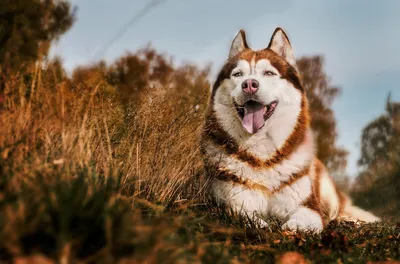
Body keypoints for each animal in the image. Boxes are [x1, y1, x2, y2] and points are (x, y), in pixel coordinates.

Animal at [200, 27, 382, 233]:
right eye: (238, 74)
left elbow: (304, 221)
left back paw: (348, 220)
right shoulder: (233, 203)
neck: (263, 158)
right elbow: (248, 217)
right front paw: (265, 225)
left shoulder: (307, 206)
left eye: (269, 73)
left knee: (340, 210)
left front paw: (290, 228)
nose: (249, 85)